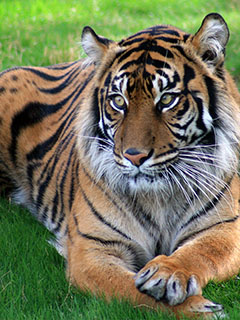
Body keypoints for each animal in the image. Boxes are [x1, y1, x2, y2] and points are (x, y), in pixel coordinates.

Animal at [0, 11, 240, 318]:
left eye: (167, 99)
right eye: (118, 101)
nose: (134, 156)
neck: (159, 197)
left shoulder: (225, 228)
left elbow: (202, 252)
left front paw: (168, 273)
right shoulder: (93, 249)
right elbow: (130, 291)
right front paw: (199, 309)